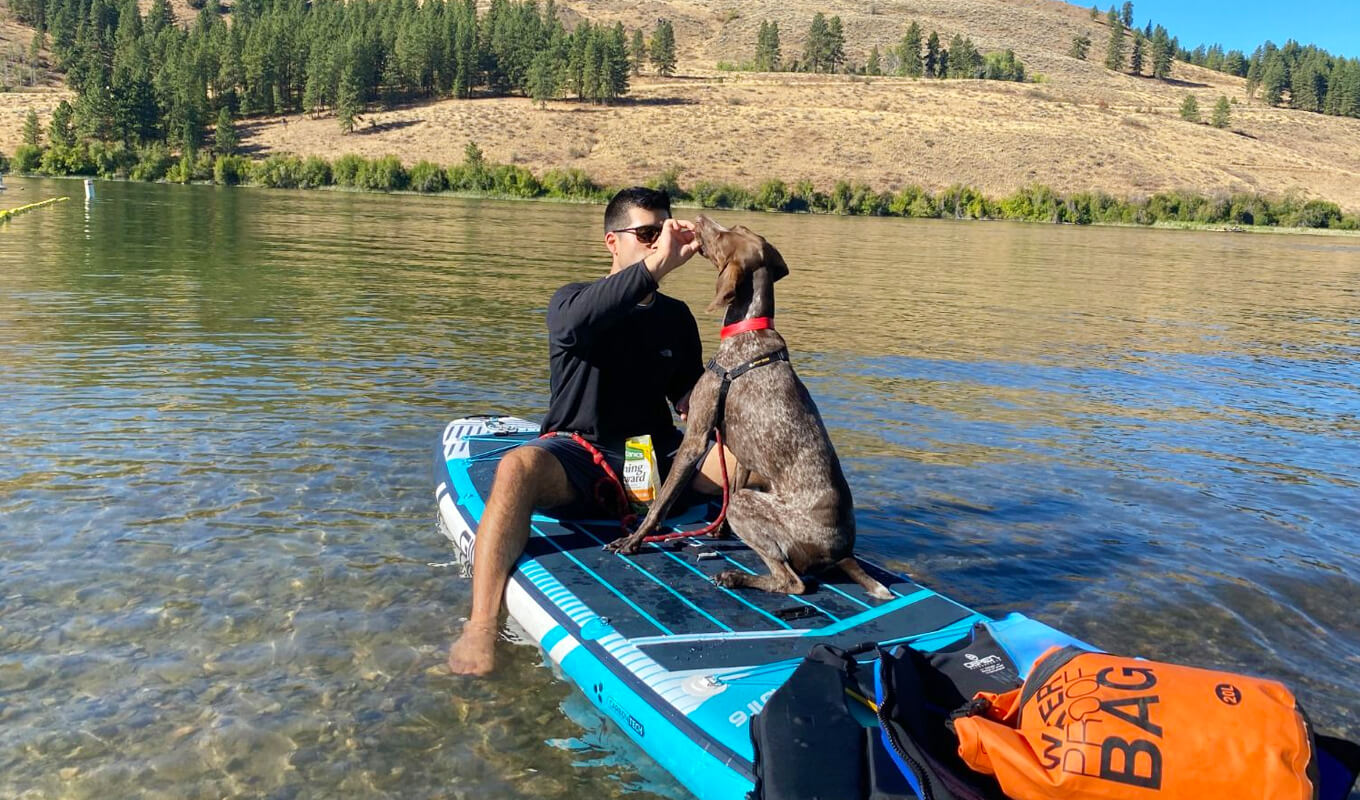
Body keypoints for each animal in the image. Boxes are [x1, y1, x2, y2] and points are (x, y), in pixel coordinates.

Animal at [606, 213, 892, 598]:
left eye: (725, 235)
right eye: (736, 229)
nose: (699, 218)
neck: (748, 331)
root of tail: (842, 552)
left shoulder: (696, 437)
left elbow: (661, 503)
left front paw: (634, 540)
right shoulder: (740, 452)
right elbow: (728, 493)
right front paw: (717, 532)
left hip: (752, 507)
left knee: (793, 582)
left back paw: (736, 577)